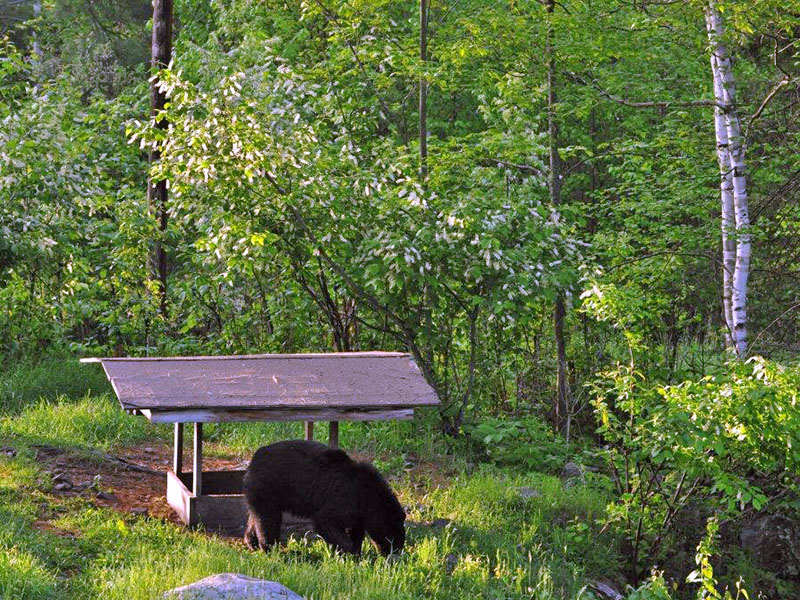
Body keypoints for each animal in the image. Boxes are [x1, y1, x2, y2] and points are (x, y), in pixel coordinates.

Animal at [242, 440, 405, 556]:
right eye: (392, 539)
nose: (395, 554)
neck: (367, 495)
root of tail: (253, 462)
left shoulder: (358, 512)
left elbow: (356, 531)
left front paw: (356, 552)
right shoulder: (342, 498)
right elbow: (326, 522)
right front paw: (348, 552)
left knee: (256, 517)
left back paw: (252, 542)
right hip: (267, 488)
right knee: (268, 520)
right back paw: (271, 549)